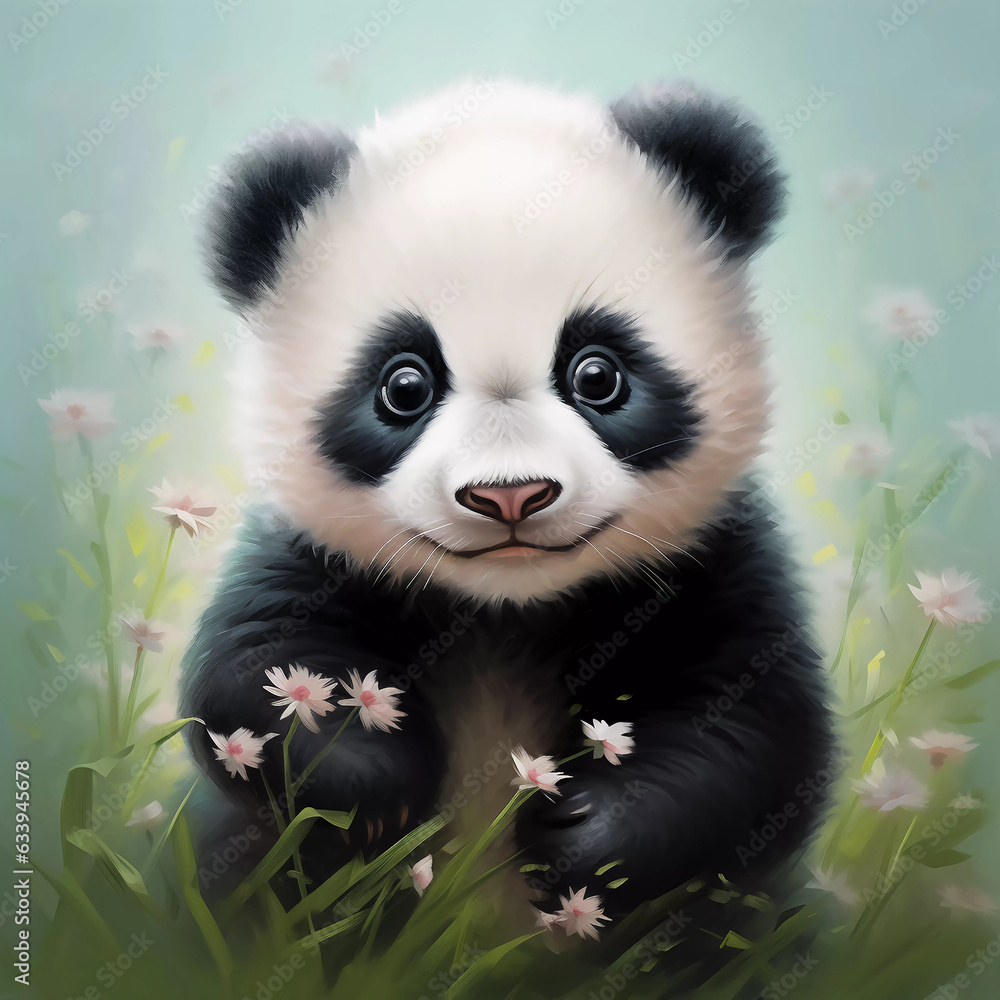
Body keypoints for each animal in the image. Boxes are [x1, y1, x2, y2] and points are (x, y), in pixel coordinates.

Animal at [181, 79, 833, 929]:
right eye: (404, 384)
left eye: (598, 374)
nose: (510, 495)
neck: (505, 610)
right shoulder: (312, 556)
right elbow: (250, 671)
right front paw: (376, 784)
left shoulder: (713, 559)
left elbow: (753, 730)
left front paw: (584, 835)